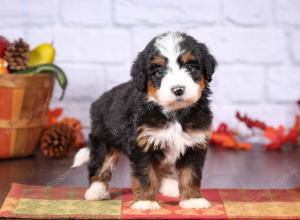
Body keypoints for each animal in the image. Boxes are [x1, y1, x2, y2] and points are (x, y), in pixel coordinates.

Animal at [74, 31, 217, 211]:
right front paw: (146, 201)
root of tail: (99, 101)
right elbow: (146, 175)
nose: (178, 89)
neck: (174, 113)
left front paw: (192, 199)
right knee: (100, 163)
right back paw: (96, 191)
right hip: (103, 139)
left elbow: (190, 174)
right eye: (159, 71)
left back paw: (170, 185)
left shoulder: (194, 143)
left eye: (190, 67)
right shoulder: (142, 144)